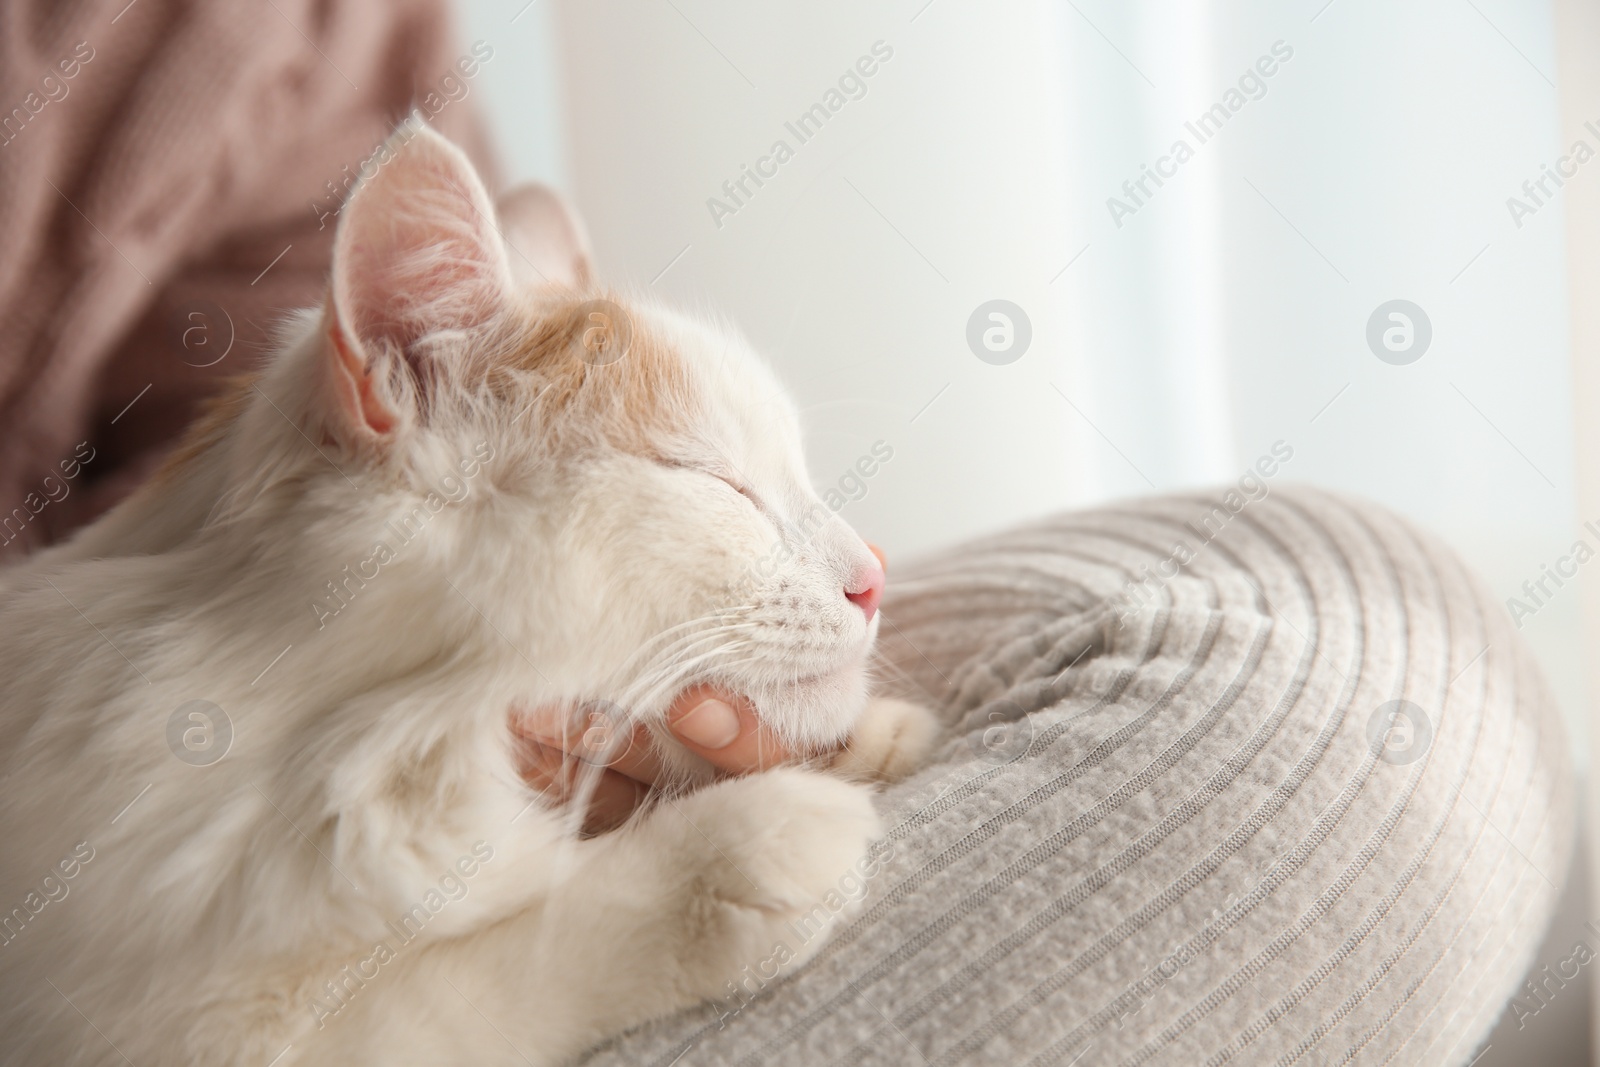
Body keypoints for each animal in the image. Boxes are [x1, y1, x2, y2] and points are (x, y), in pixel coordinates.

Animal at [0, 123, 934, 1062]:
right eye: (718, 483)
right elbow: (489, 973)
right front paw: (725, 856)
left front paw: (875, 734)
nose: (874, 576)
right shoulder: (184, 1029)